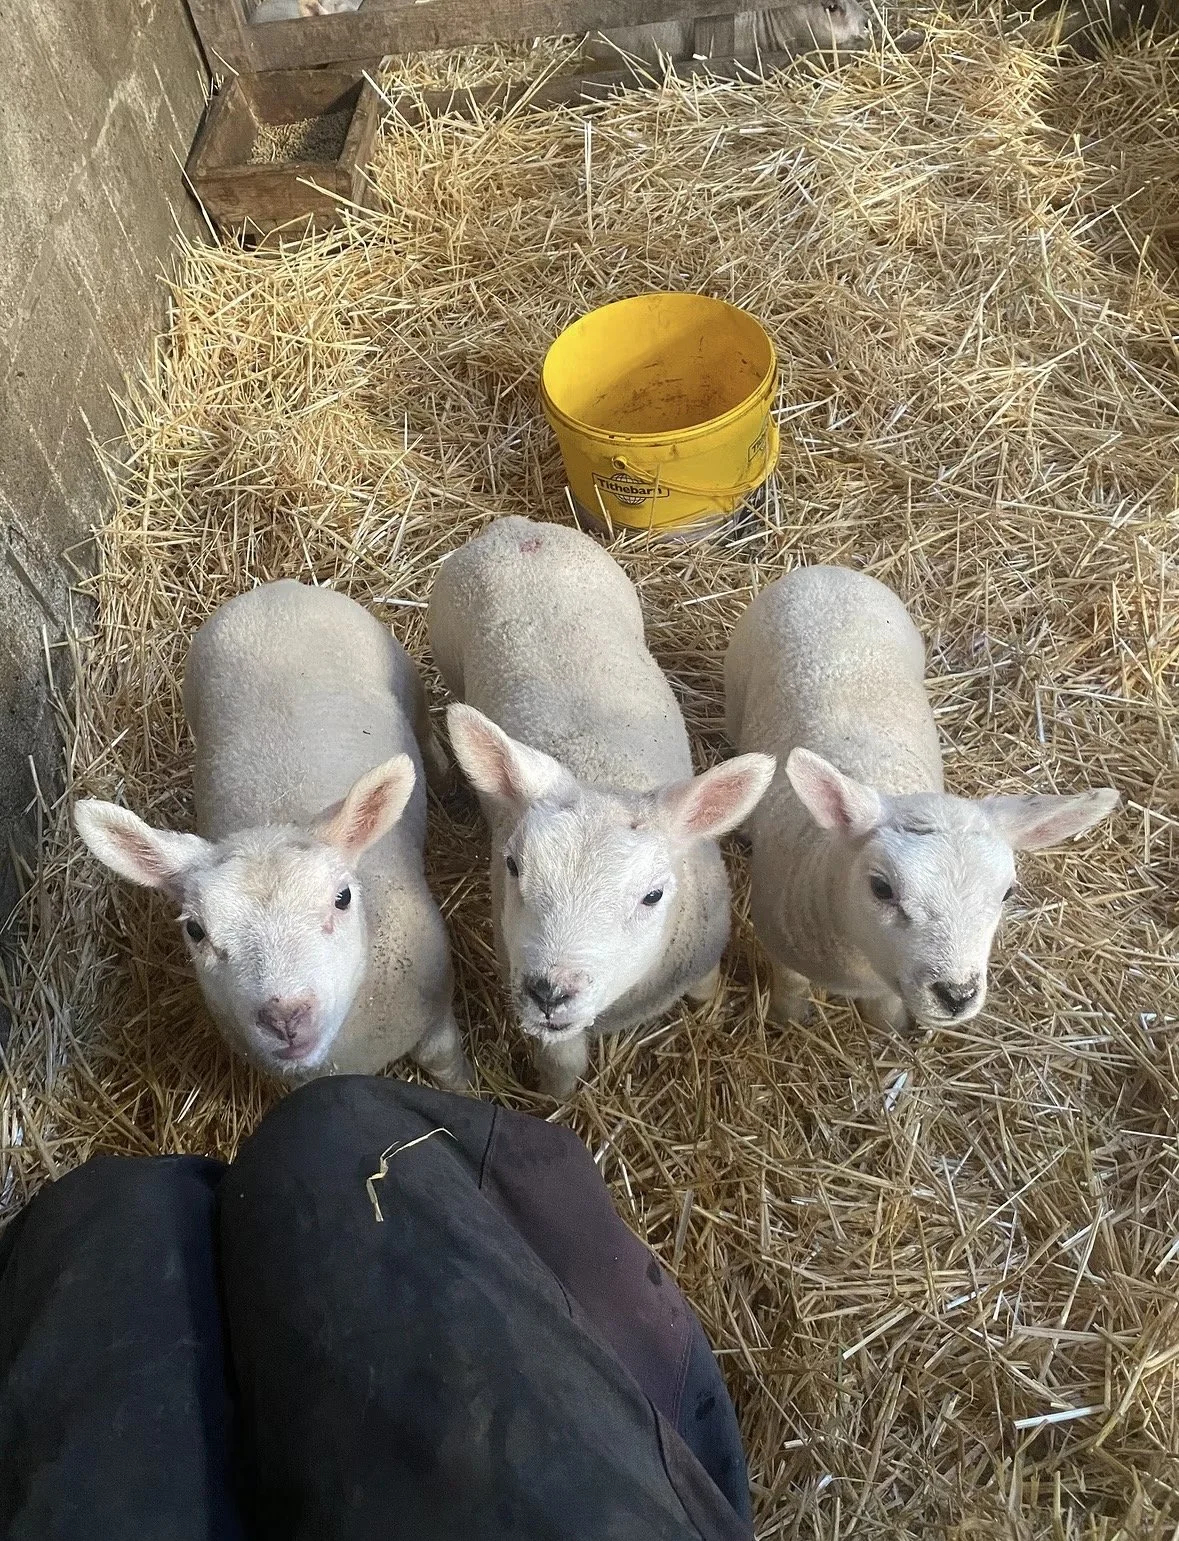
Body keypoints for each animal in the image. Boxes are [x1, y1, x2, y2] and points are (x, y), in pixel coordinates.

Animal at [74, 580, 469, 1088]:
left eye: (342, 898)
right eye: (196, 930)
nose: (285, 1018)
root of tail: (275, 590)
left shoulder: (436, 1014)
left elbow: (447, 1065)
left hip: (402, 672)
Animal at [427, 515, 774, 1098]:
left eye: (653, 895)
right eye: (513, 867)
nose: (549, 992)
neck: (603, 771)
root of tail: (515, 530)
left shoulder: (700, 950)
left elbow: (705, 987)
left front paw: (712, 1009)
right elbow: (563, 1069)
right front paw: (552, 1099)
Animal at [724, 565, 1119, 1032]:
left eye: (1008, 893)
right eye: (881, 888)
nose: (956, 995)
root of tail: (826, 571)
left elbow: (884, 1008)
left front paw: (889, 1030)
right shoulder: (781, 949)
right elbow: (790, 986)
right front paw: (787, 1020)